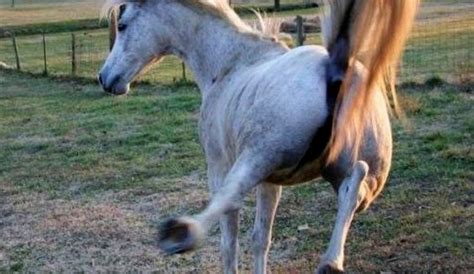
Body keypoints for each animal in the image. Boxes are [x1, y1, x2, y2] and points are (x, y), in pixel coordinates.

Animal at [98, 1, 416, 272]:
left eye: (122, 25)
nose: (104, 78)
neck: (230, 63)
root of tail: (336, 72)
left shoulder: (220, 166)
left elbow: (229, 238)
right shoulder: (272, 182)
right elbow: (261, 238)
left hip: (256, 158)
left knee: (229, 198)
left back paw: (181, 233)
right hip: (360, 177)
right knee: (354, 185)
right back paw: (331, 262)